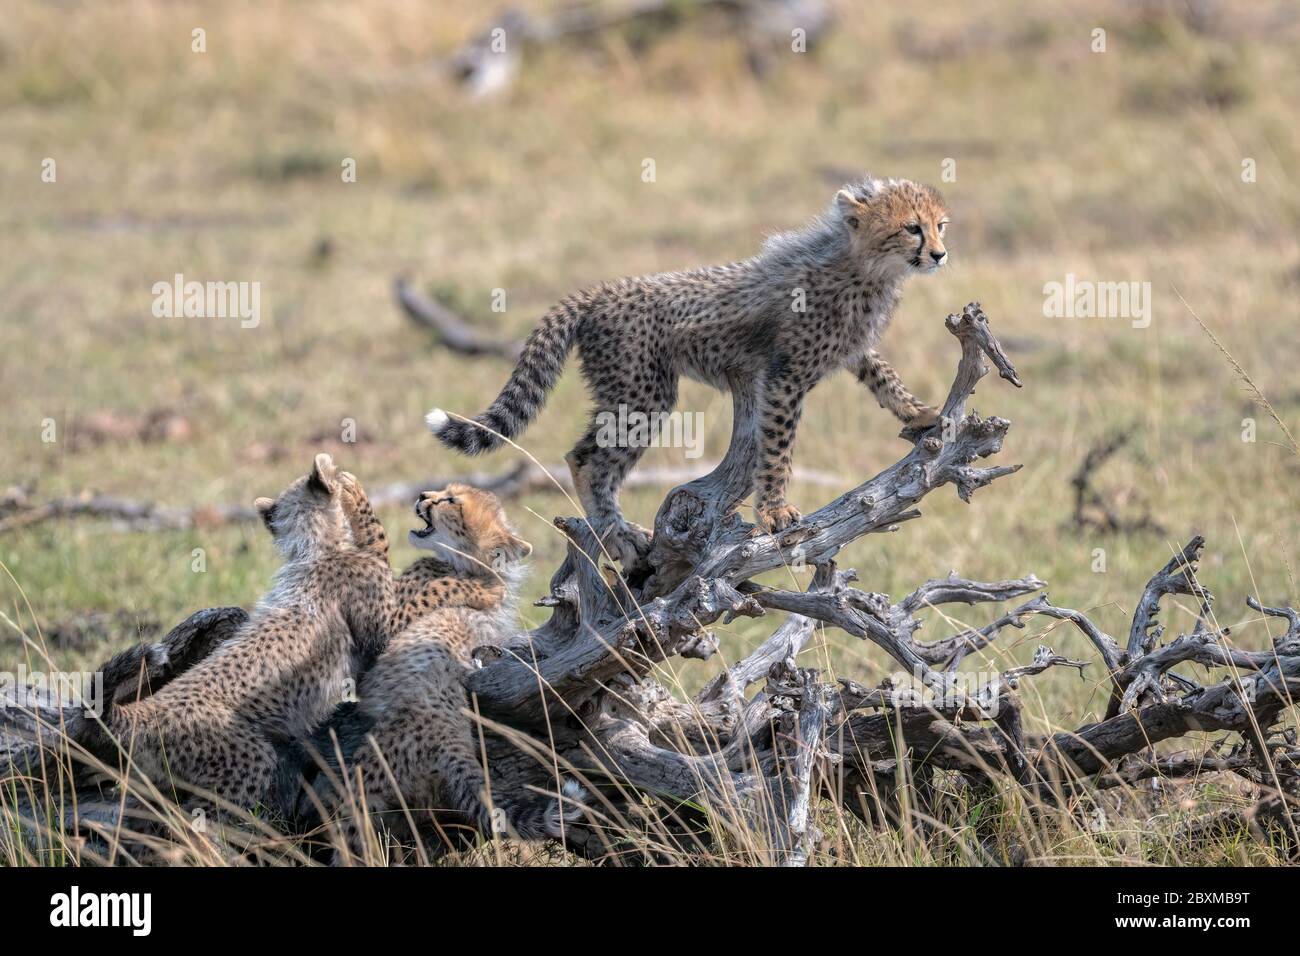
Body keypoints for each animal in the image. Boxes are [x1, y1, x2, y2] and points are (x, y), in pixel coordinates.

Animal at [427, 175, 950, 564]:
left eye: (941, 225)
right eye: (912, 228)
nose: (940, 254)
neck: (866, 267)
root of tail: (600, 292)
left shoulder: (850, 349)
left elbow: (883, 375)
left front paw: (920, 412)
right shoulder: (785, 376)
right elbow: (778, 447)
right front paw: (775, 511)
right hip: (643, 393)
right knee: (587, 458)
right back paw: (618, 535)